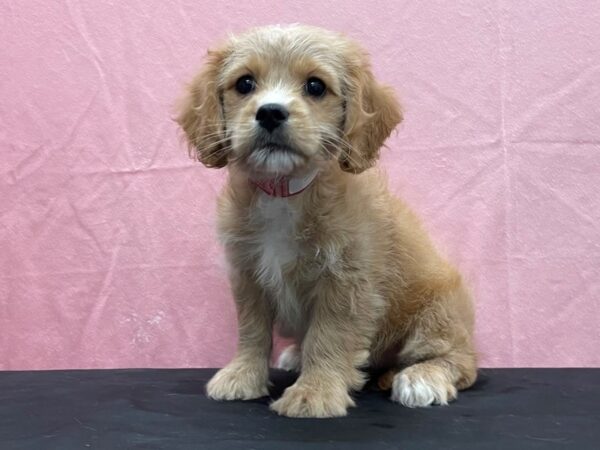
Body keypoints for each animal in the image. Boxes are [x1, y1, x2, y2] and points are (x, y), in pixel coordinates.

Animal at [176, 24, 476, 418]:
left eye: (316, 86)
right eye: (245, 83)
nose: (270, 113)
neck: (284, 192)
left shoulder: (346, 283)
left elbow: (328, 336)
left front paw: (314, 393)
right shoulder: (248, 275)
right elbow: (252, 330)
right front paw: (242, 376)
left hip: (436, 316)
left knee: (461, 362)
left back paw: (422, 378)